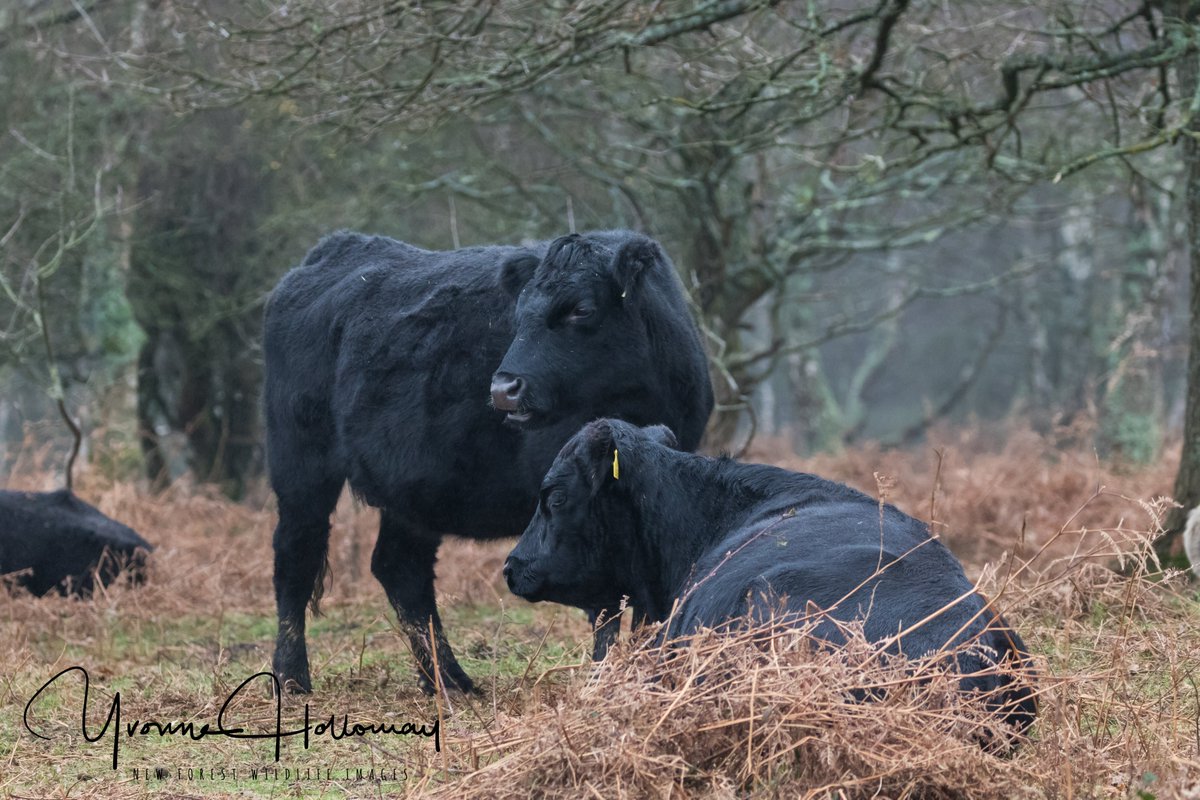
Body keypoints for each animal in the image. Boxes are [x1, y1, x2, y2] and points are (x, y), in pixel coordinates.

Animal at [264, 230, 713, 695]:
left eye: (582, 309)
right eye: (519, 313)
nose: (503, 388)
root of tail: (339, 247)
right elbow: (604, 605)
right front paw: (603, 676)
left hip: (413, 490)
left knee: (401, 568)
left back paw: (448, 680)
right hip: (301, 464)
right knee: (296, 556)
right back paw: (292, 676)